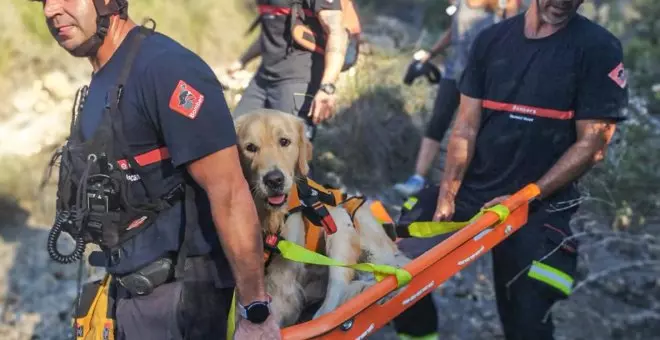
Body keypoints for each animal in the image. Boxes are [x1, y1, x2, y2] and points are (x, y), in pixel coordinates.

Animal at [232, 109, 408, 326]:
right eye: (250, 147)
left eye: (284, 141)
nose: (274, 180)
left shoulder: (283, 281)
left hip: (338, 221)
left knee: (334, 300)